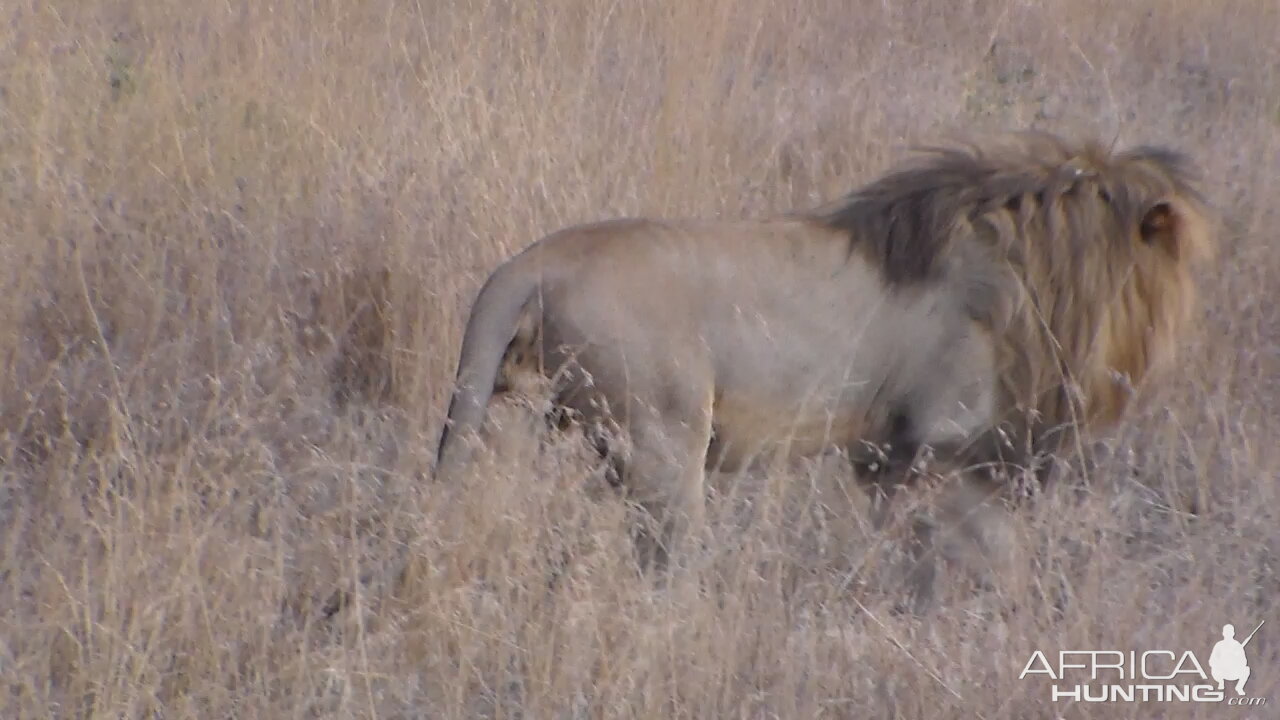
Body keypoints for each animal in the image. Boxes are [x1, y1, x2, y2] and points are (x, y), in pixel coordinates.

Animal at [435, 128, 1213, 599]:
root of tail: (529, 263)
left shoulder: (890, 455)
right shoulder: (952, 447)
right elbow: (980, 558)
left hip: (532, 418)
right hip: (664, 441)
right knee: (664, 560)